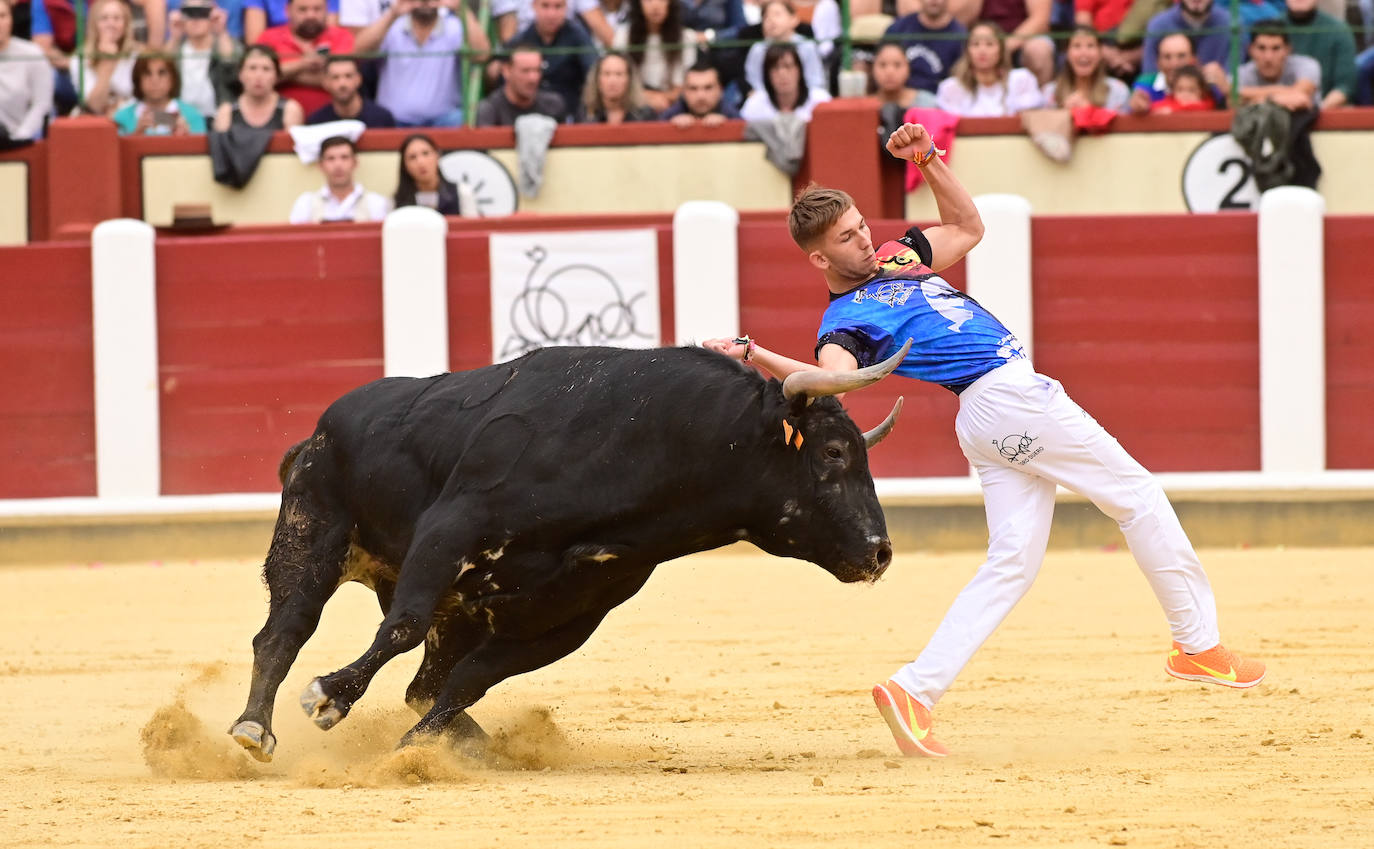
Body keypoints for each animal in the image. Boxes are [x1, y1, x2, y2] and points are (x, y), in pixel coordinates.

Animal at [229, 340, 906, 758]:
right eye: (833, 452)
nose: (879, 553)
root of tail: (317, 431)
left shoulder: (570, 615)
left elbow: (469, 680)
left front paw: (416, 748)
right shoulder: (450, 530)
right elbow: (401, 629)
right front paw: (328, 697)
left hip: (459, 608)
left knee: (426, 680)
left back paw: (476, 745)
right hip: (313, 535)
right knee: (284, 632)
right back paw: (253, 728)